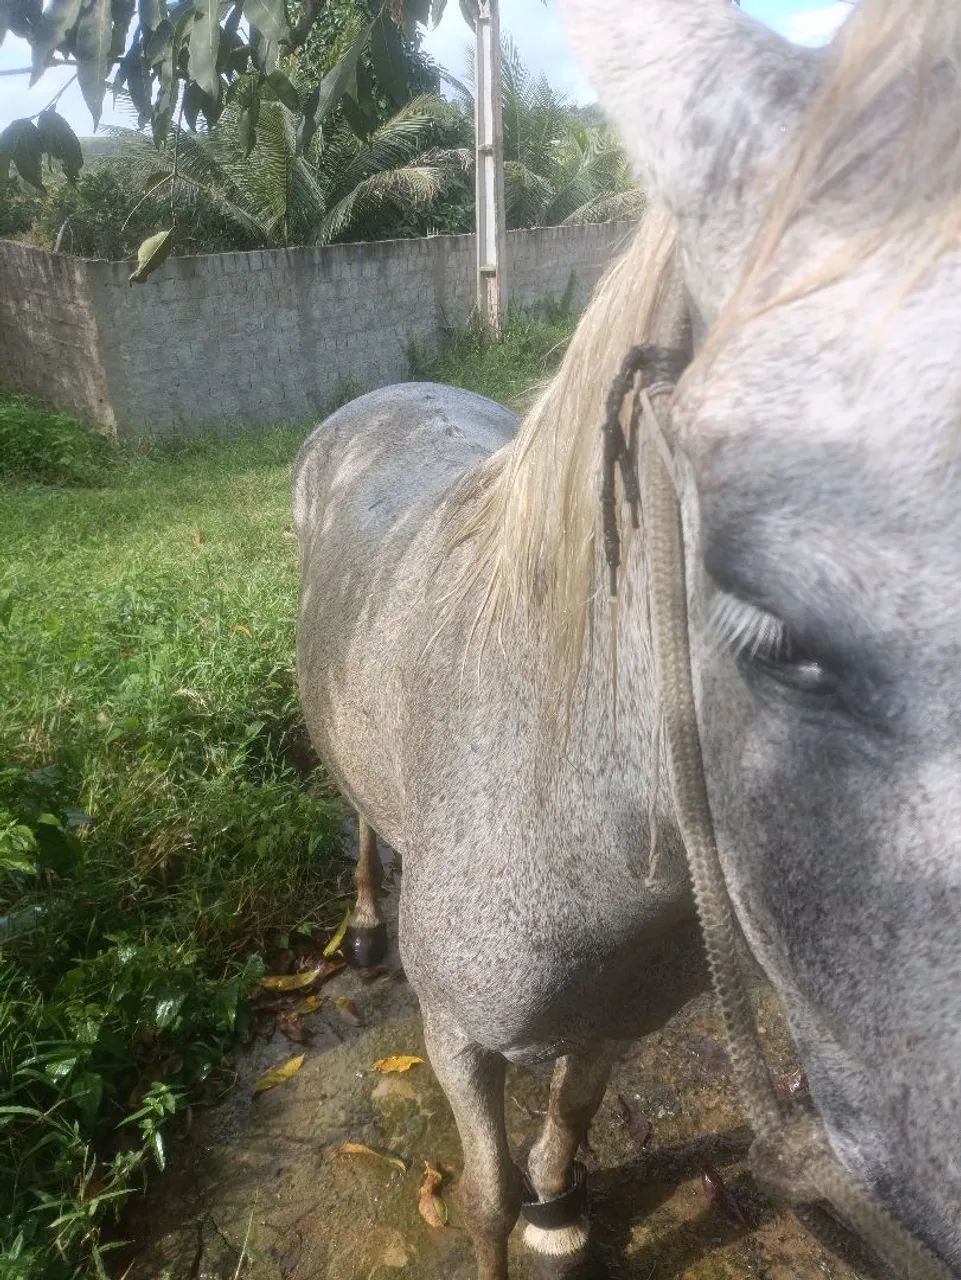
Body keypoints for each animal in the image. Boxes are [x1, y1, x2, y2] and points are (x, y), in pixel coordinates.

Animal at [293, 1, 961, 1275]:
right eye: (779, 626)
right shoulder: (454, 1036)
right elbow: (486, 1191)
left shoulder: (617, 1014)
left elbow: (572, 1114)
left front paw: (564, 1210)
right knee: (355, 809)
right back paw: (360, 924)